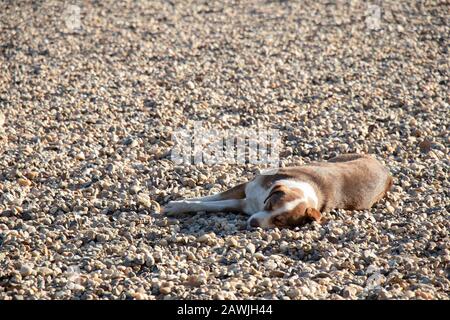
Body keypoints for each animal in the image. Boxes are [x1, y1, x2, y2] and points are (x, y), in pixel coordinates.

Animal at [163, 154, 392, 228]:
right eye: (270, 204)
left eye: (280, 220)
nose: (254, 223)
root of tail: (386, 171)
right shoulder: (246, 190)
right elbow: (210, 198)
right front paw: (176, 203)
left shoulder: (243, 205)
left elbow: (214, 205)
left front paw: (177, 207)